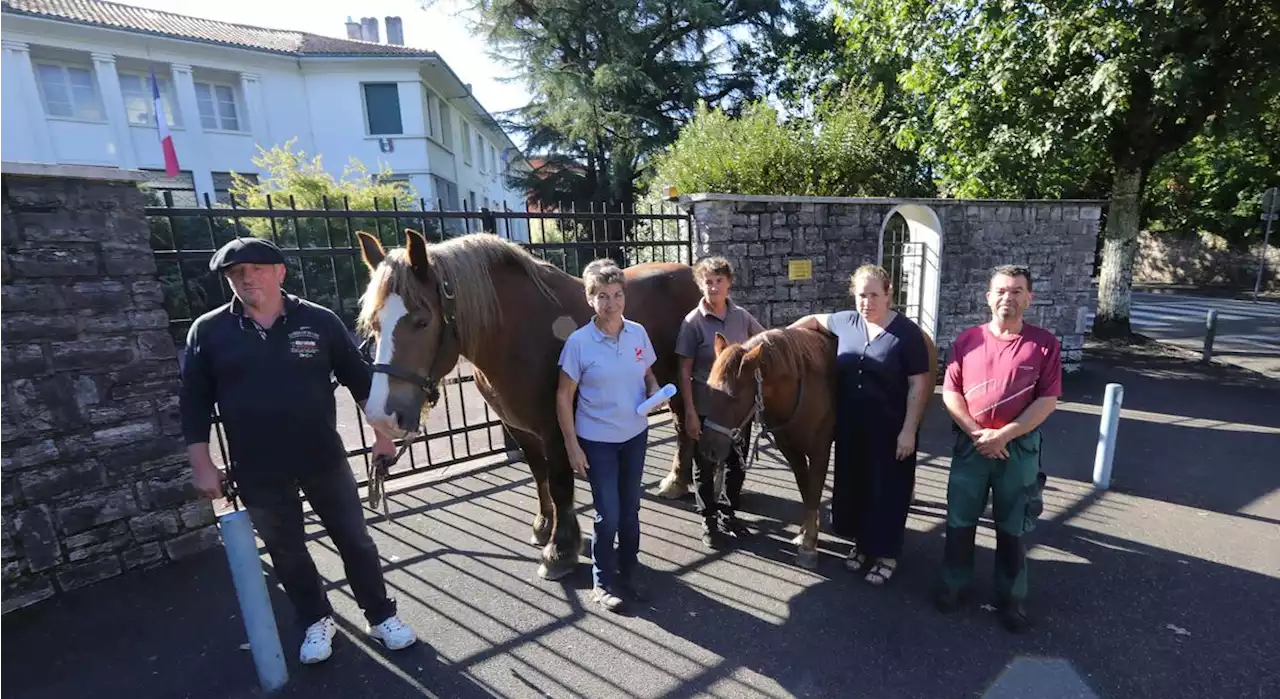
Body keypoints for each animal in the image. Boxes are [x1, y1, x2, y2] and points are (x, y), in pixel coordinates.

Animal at [355, 227, 706, 576]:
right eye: (374, 324)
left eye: (422, 321)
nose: (382, 416)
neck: (516, 333)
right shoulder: (518, 427)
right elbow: (540, 475)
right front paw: (543, 527)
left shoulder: (556, 429)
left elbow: (560, 482)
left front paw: (560, 549)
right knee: (683, 427)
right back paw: (676, 482)